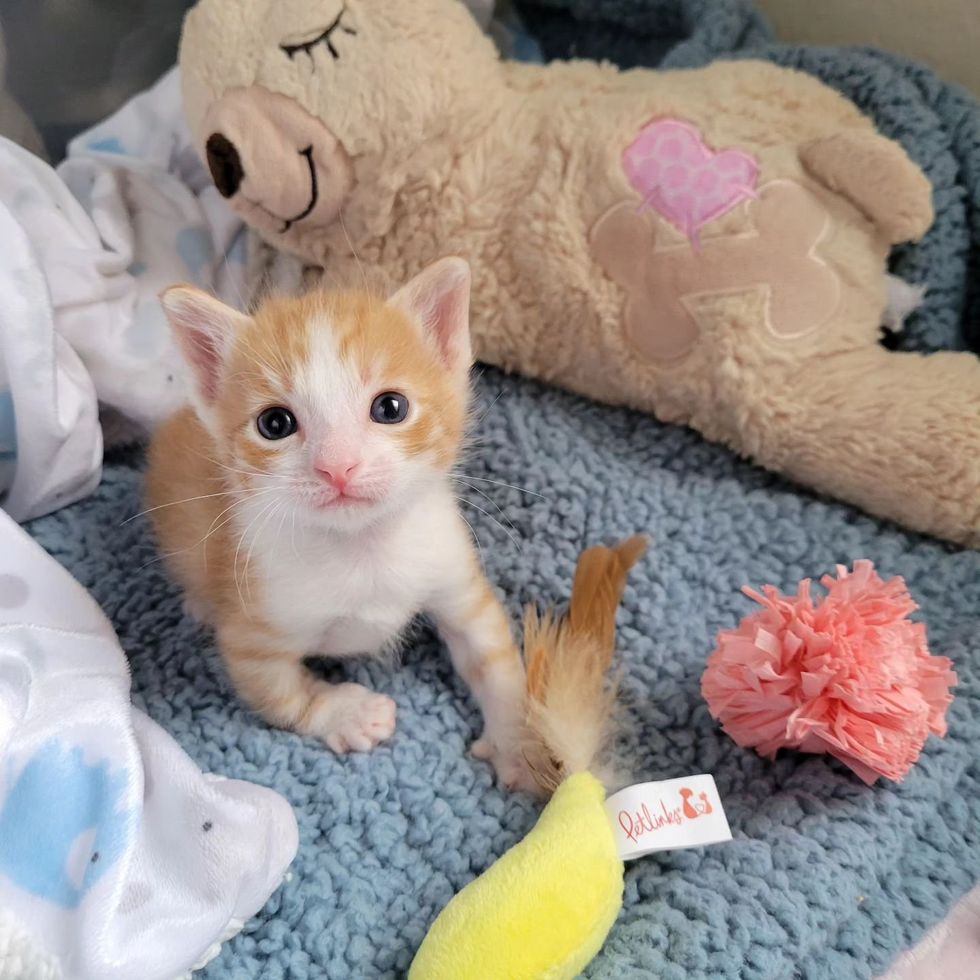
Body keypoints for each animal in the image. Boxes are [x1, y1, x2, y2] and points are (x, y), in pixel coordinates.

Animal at [146, 260, 532, 788]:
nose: (337, 467)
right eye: (274, 424)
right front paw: (347, 714)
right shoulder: (253, 627)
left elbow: (493, 656)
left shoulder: (452, 570)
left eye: (390, 407)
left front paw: (518, 742)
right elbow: (283, 697)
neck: (361, 547)